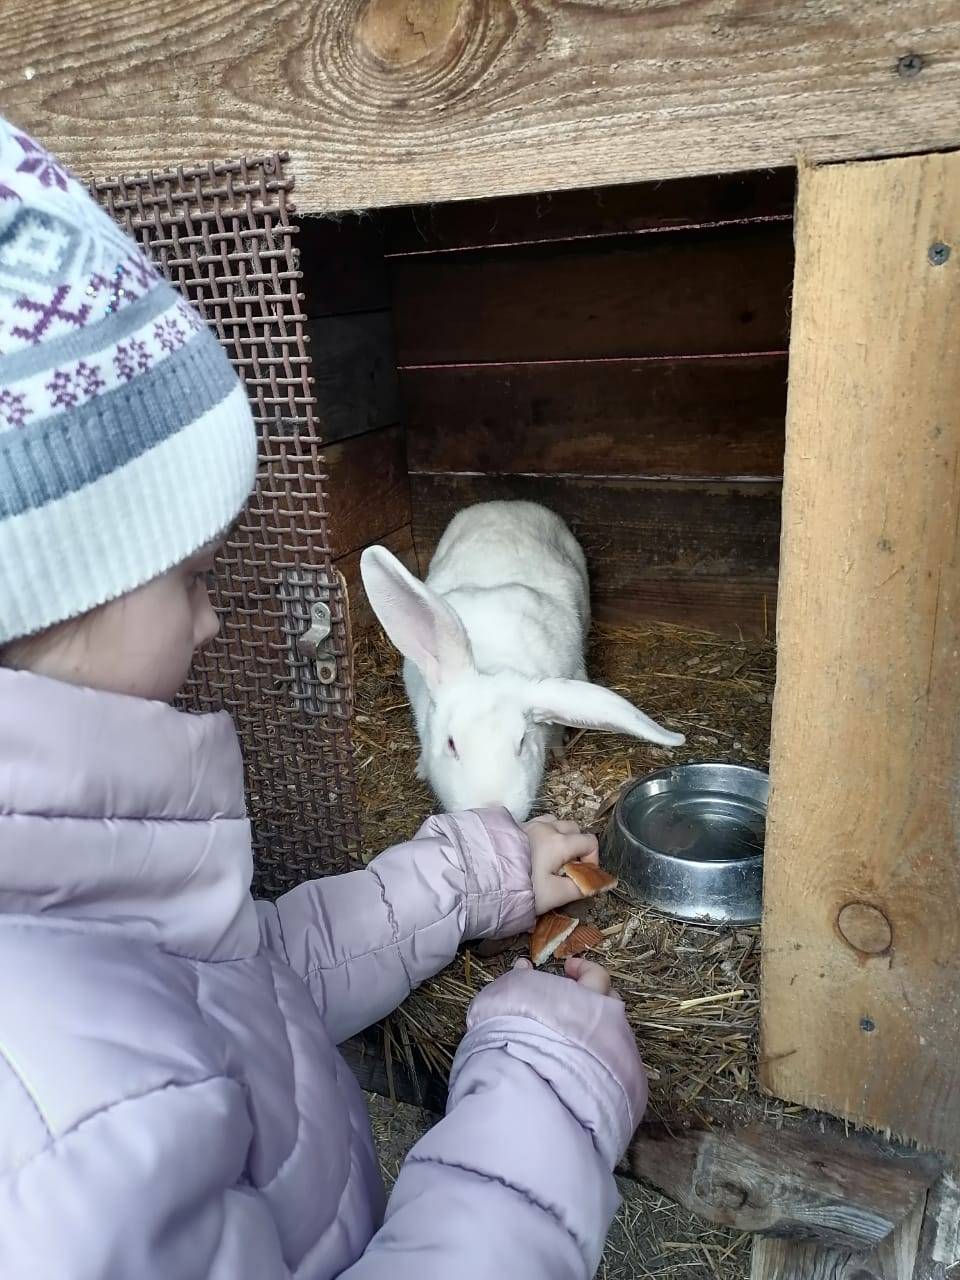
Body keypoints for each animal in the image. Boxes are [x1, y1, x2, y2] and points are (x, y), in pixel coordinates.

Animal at [360, 499, 686, 819]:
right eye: (451, 744)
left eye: (521, 743)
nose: (491, 807)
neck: (491, 660)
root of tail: (508, 503)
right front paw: (422, 768)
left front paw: (557, 753)